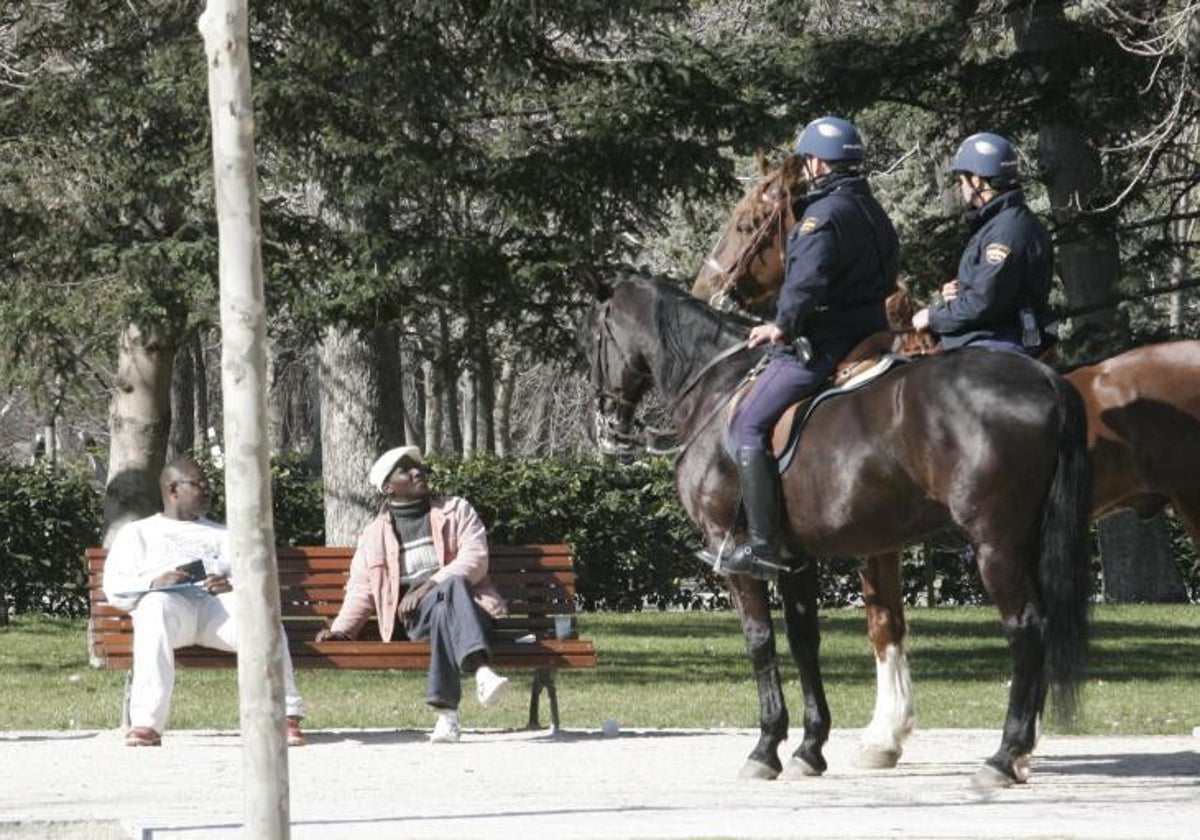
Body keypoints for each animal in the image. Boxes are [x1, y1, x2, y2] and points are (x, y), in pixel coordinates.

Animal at [585, 277, 1094, 787]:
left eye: (595, 337)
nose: (606, 425)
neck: (720, 388)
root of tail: (1045, 378)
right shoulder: (794, 560)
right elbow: (804, 641)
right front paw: (810, 748)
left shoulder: (734, 557)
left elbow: (759, 640)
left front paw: (765, 748)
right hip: (1025, 544)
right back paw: (1020, 751)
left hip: (995, 547)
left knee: (1026, 628)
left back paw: (1004, 755)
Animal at [696, 164, 1200, 768]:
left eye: (748, 222)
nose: (703, 287)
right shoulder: (881, 542)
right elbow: (888, 623)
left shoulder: (874, 544)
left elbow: (882, 625)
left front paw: (882, 736)